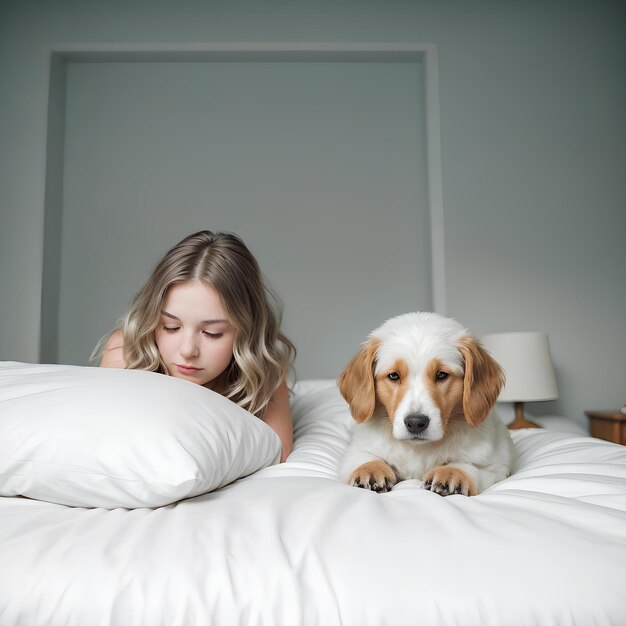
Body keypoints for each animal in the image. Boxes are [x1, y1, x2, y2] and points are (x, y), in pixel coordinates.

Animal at [338, 312, 516, 498]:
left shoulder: (496, 464)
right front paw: (370, 470)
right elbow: (365, 457)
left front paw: (451, 473)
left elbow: (469, 465)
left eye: (441, 375)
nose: (416, 423)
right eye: (394, 376)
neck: (418, 449)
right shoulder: (354, 451)